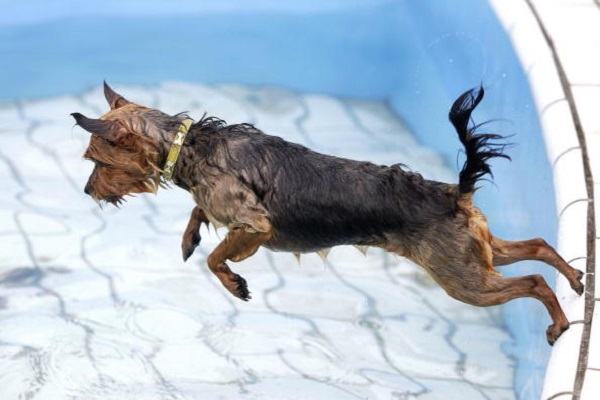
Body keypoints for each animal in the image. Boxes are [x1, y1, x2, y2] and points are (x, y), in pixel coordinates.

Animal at [72, 81, 584, 344]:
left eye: (96, 162)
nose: (86, 190)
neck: (189, 145)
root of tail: (453, 193)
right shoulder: (229, 213)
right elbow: (199, 215)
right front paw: (188, 239)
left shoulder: (255, 224)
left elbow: (217, 258)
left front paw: (234, 282)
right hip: (477, 251)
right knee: (538, 245)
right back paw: (577, 280)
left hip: (462, 277)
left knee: (532, 282)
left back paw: (559, 322)